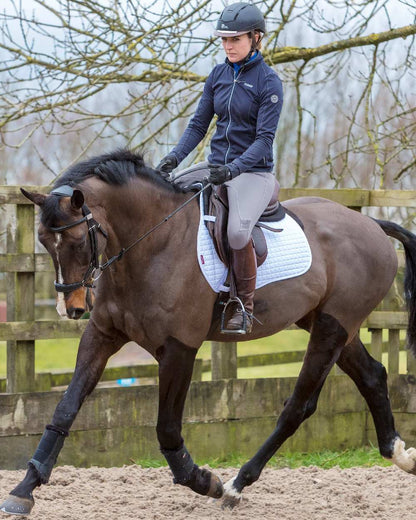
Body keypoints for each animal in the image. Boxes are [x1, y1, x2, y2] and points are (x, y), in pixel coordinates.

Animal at [0, 148, 416, 512]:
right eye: (43, 241)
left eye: (74, 241)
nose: (69, 308)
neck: (151, 243)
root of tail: (371, 224)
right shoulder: (102, 335)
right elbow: (65, 409)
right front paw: (24, 490)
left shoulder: (179, 348)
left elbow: (167, 429)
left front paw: (203, 480)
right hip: (330, 324)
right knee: (373, 376)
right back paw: (400, 455)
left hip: (332, 328)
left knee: (298, 406)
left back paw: (234, 486)